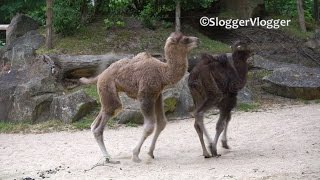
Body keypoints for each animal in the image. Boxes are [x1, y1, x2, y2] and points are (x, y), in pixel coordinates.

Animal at [79, 32, 199, 163]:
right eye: (185, 39)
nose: (197, 40)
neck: (162, 73)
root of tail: (101, 75)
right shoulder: (145, 95)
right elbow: (149, 126)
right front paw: (135, 155)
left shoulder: (157, 95)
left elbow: (162, 122)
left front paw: (150, 153)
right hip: (108, 89)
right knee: (105, 120)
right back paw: (109, 158)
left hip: (107, 94)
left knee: (97, 120)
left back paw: (106, 155)